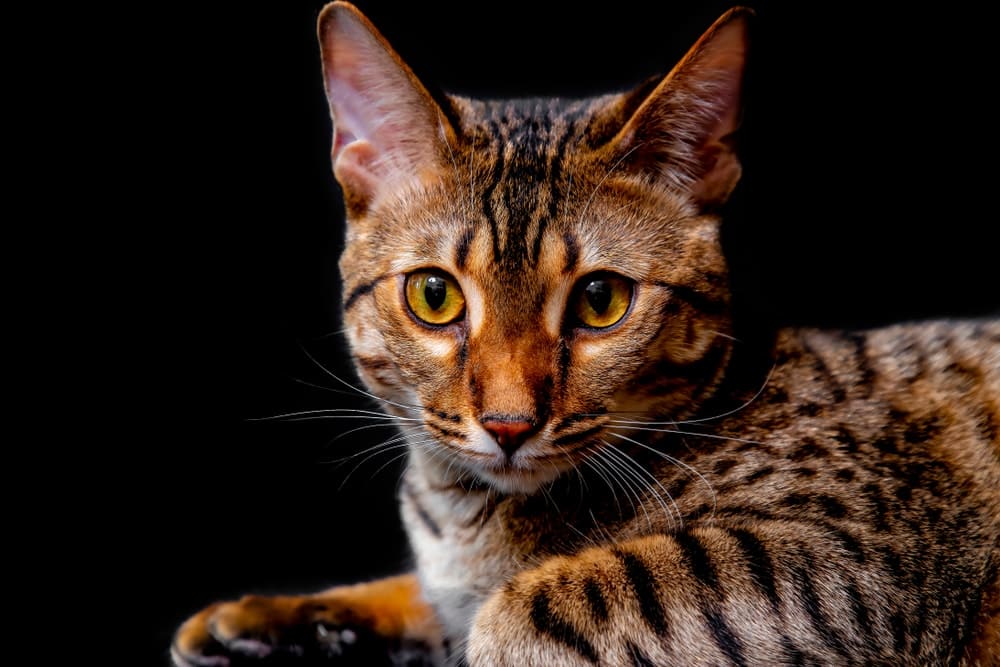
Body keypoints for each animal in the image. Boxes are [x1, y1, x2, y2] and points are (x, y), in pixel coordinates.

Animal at [168, 2, 996, 664]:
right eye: (435, 295)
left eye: (601, 300)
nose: (508, 424)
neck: (465, 516)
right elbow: (420, 591)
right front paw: (273, 613)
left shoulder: (853, 557)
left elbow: (526, 604)